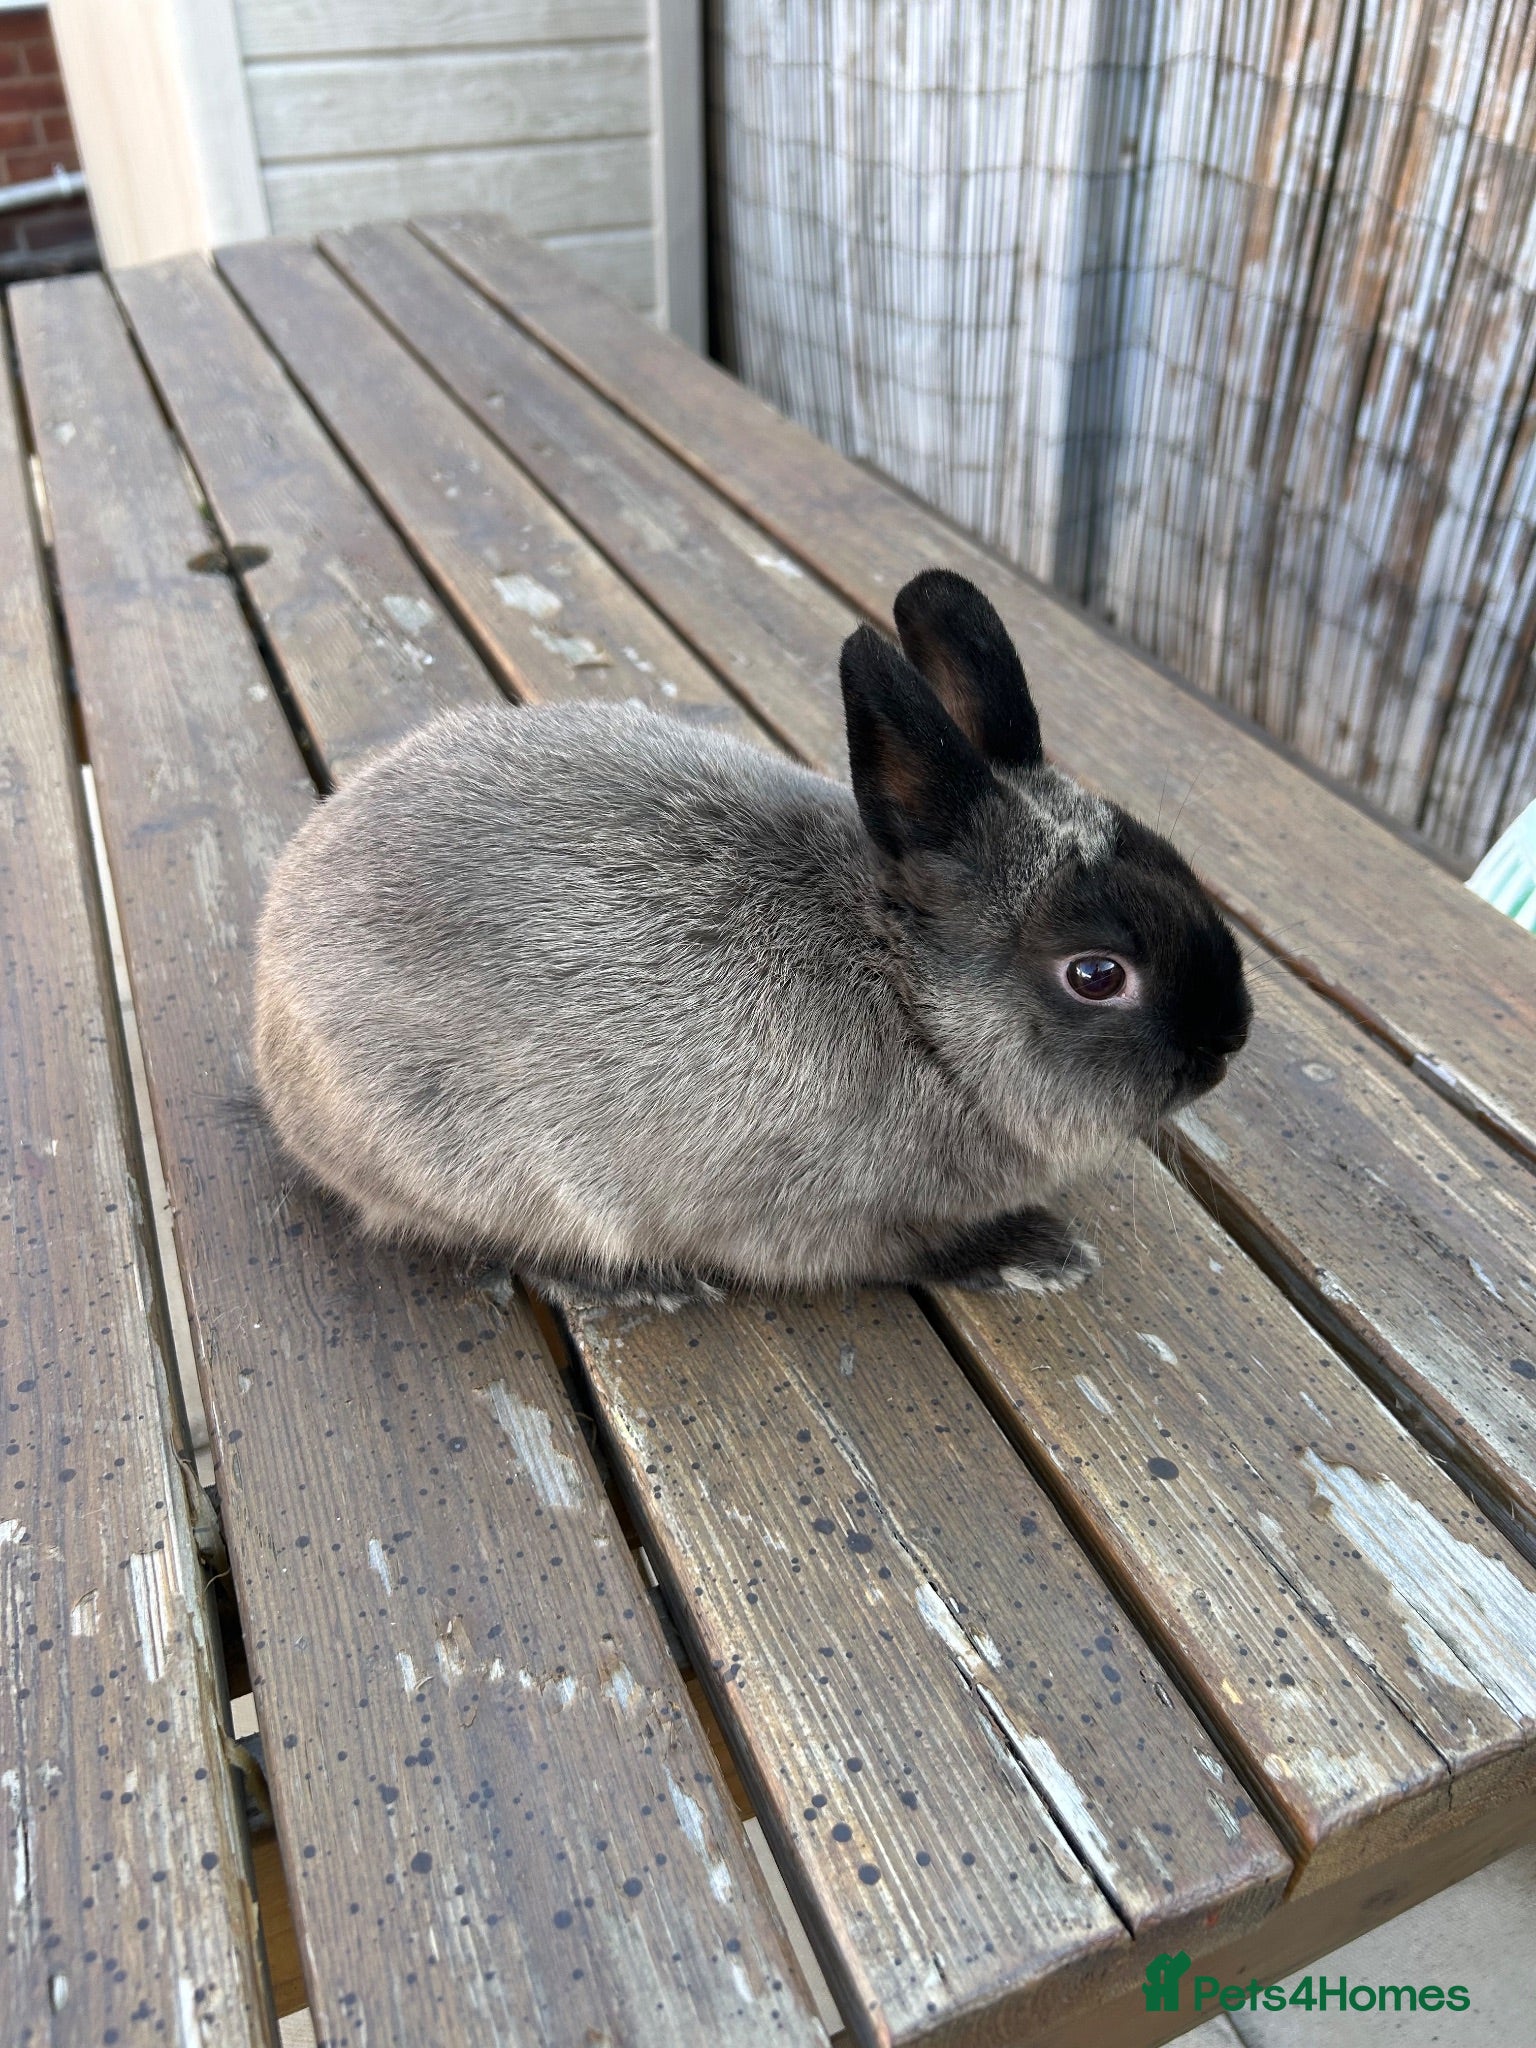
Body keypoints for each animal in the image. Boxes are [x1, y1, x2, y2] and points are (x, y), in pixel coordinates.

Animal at [253, 568, 1250, 1308]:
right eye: (1097, 974)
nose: (1228, 1041)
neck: (917, 1007)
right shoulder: (820, 1219)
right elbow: (901, 1254)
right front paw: (1037, 1252)